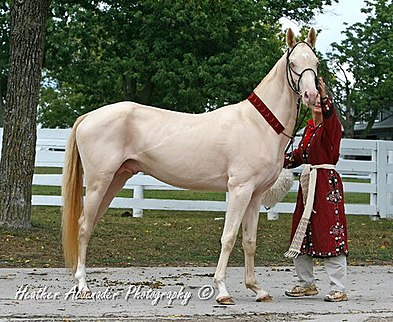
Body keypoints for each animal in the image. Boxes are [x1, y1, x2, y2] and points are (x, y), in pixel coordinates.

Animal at [62, 27, 318, 304]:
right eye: (293, 64)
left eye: (315, 62)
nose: (311, 96)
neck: (258, 124)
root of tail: (89, 116)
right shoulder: (240, 190)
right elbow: (228, 237)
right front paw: (222, 290)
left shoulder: (255, 194)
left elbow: (249, 241)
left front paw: (257, 289)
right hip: (98, 183)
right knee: (84, 227)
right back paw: (83, 286)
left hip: (115, 180)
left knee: (89, 225)